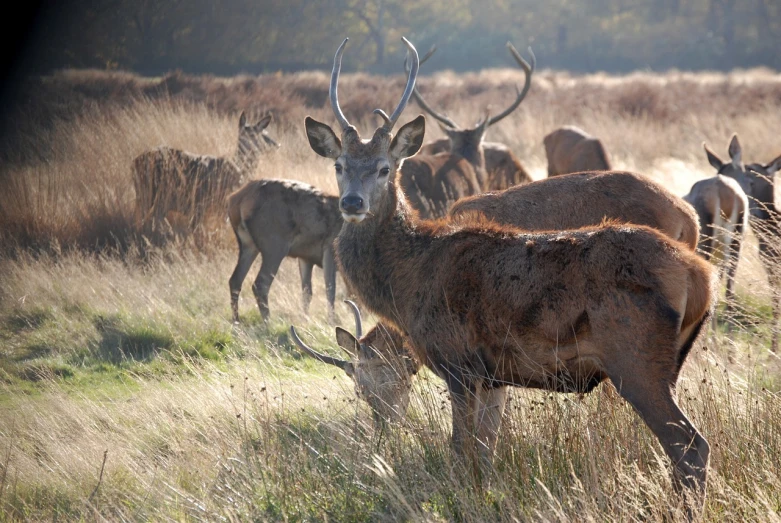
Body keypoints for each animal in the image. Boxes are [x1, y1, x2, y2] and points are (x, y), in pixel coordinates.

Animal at [133, 112, 278, 235]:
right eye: (253, 134)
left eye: (264, 133)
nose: (276, 144)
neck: (238, 168)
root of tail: (135, 161)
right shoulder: (214, 204)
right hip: (153, 192)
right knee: (148, 217)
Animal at [225, 180, 342, 324]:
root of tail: (236, 199)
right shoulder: (330, 249)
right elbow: (330, 291)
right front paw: (331, 322)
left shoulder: (306, 257)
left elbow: (307, 292)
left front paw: (305, 319)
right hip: (274, 245)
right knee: (260, 284)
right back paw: (268, 322)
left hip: (248, 245)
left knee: (235, 280)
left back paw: (236, 320)